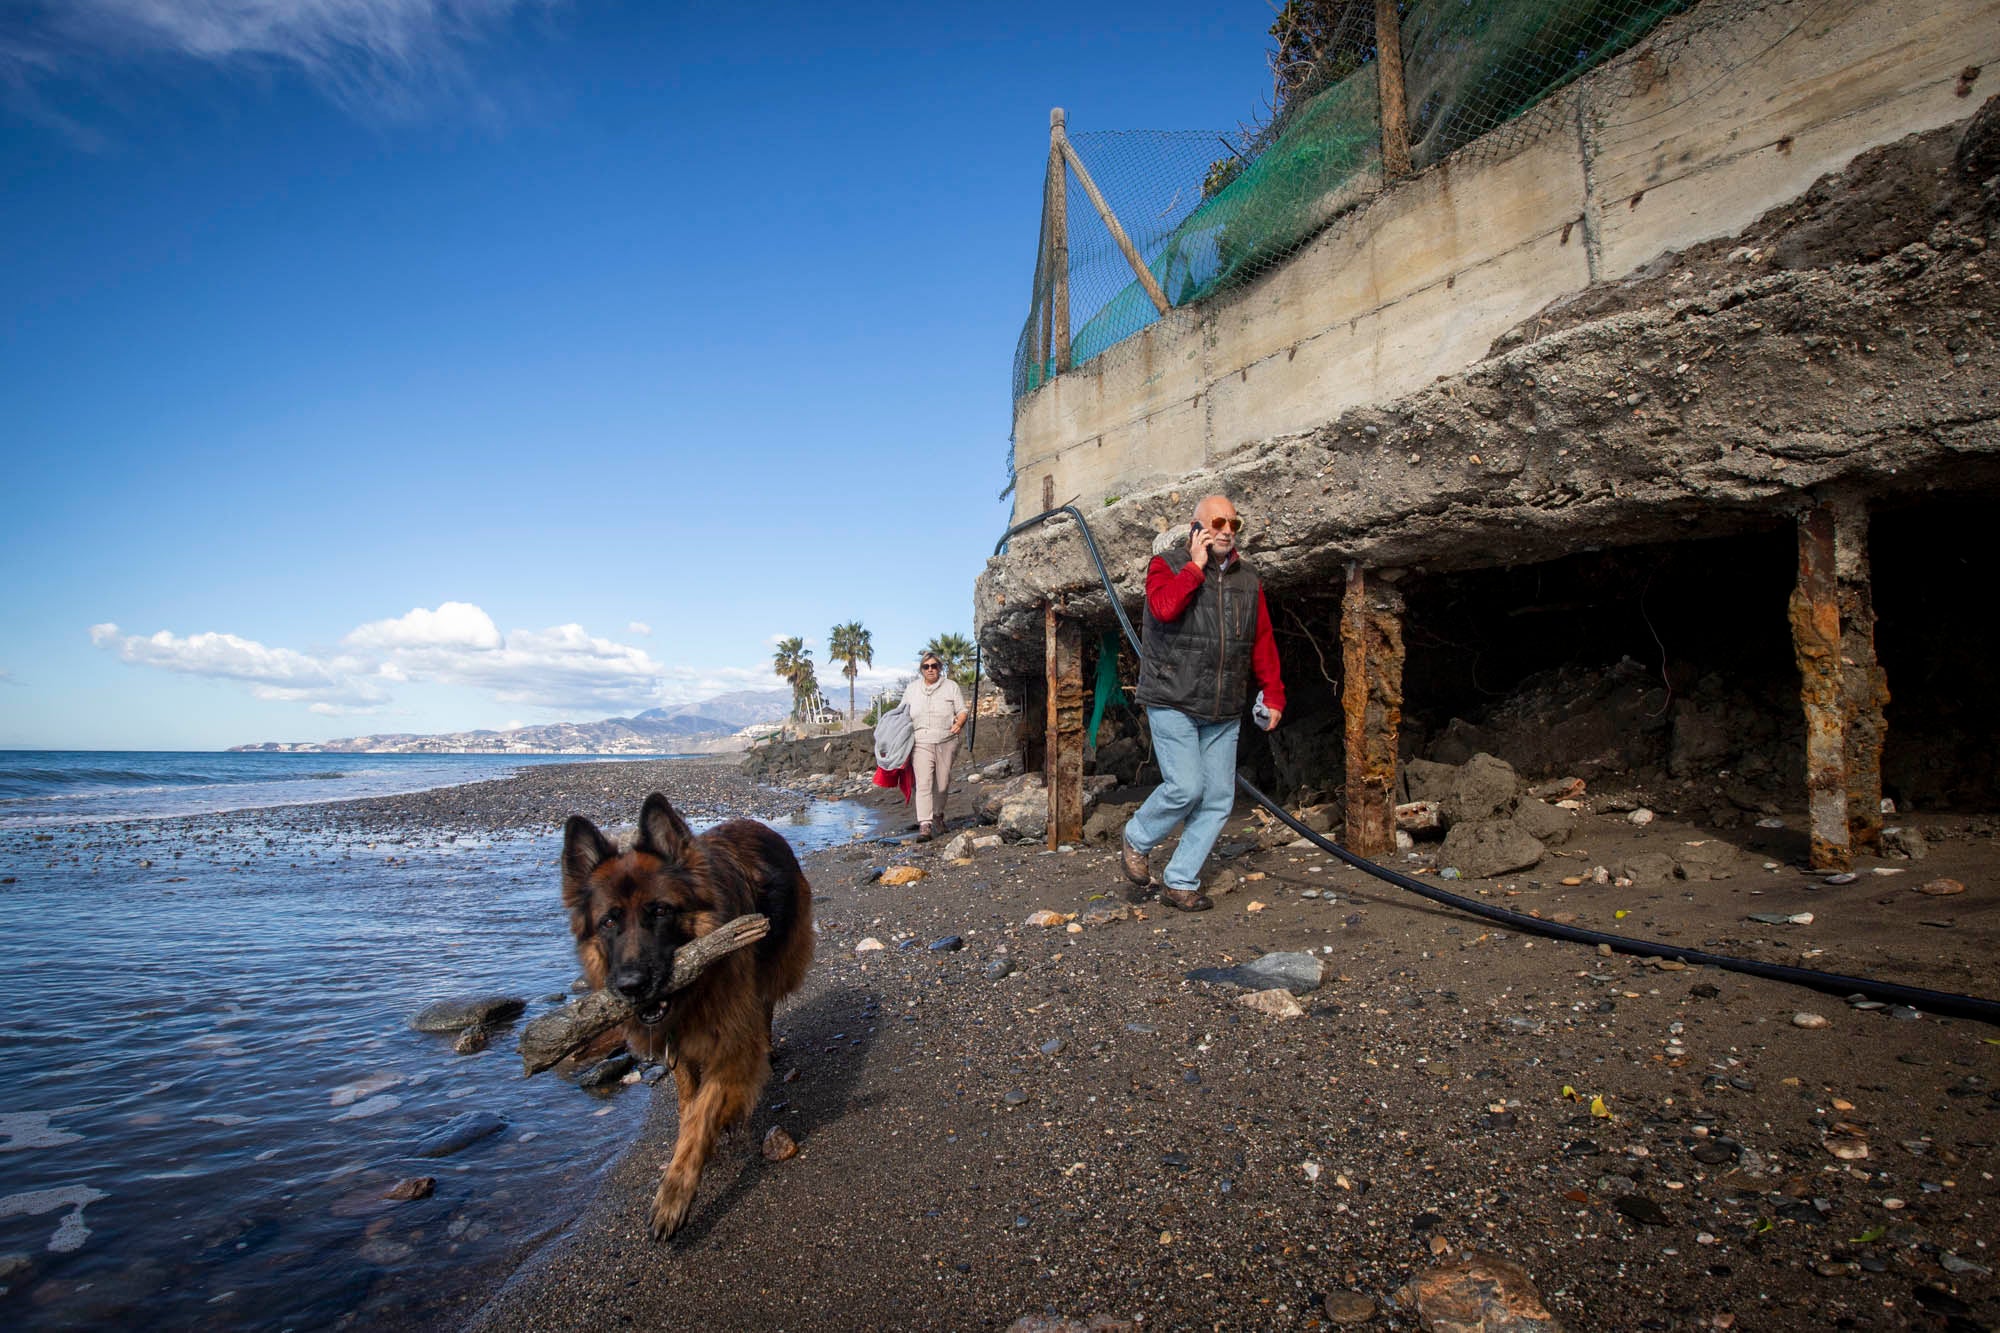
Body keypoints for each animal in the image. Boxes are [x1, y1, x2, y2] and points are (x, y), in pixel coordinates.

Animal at [564, 788, 812, 1232]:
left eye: (661, 911)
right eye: (609, 922)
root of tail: (759, 825)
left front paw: (674, 1194)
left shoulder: (732, 1039)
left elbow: (703, 1114)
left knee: (765, 1009)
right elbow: (687, 1098)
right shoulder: (677, 1040)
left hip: (775, 965)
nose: (631, 986)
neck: (695, 991)